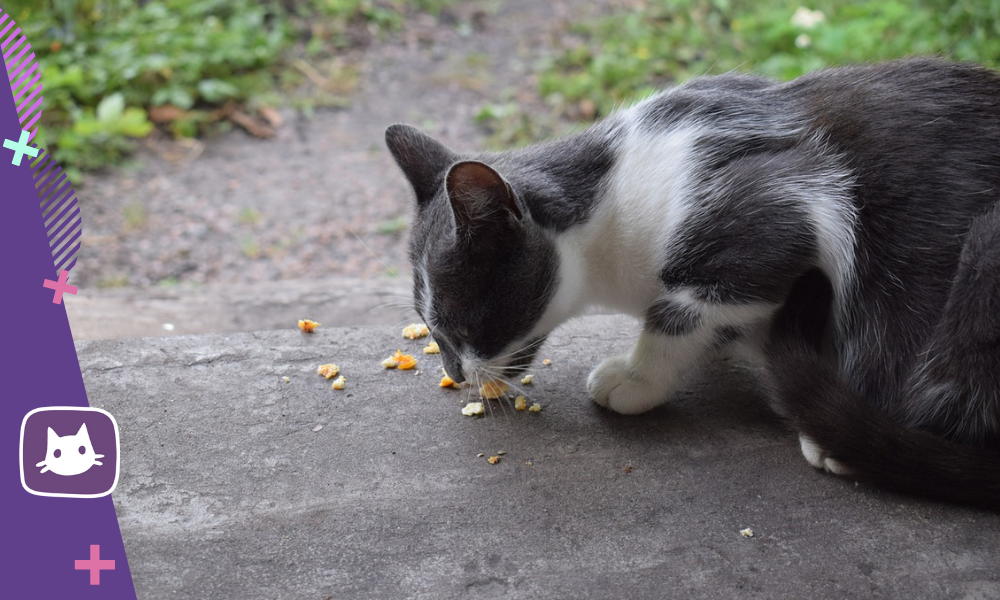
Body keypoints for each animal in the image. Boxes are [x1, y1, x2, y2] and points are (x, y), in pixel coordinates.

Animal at [386, 57, 1000, 510]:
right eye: (429, 327)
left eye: (464, 322)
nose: (455, 371)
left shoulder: (786, 206)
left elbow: (680, 311)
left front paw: (636, 378)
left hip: (978, 252)